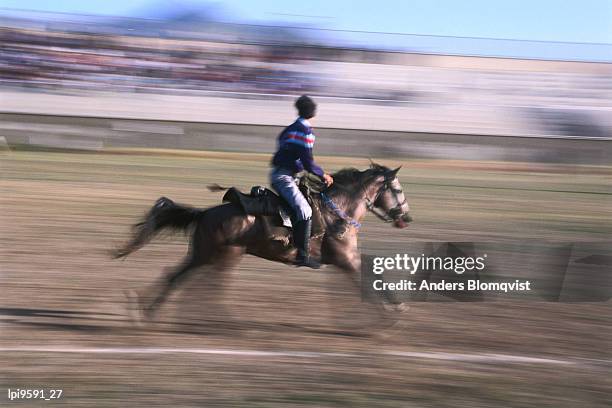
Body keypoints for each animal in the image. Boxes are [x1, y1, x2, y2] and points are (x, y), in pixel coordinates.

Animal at [115, 163, 412, 318]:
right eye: (398, 190)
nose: (406, 218)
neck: (337, 210)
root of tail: (205, 213)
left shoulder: (346, 260)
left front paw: (394, 306)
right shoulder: (346, 259)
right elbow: (370, 280)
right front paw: (390, 313)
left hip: (215, 256)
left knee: (184, 279)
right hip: (216, 255)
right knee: (184, 279)